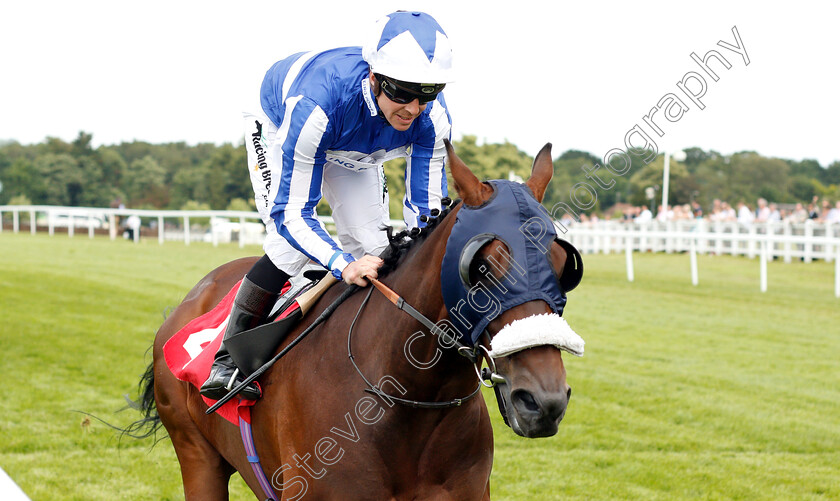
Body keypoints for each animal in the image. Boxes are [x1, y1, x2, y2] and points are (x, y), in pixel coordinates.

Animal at [136, 141, 584, 500]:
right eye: (482, 267)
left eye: (564, 265)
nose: (543, 402)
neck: (406, 402)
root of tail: (191, 299)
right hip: (197, 457)